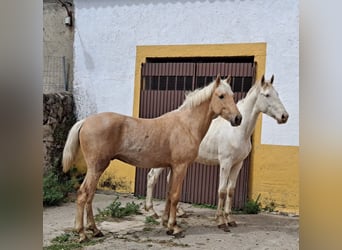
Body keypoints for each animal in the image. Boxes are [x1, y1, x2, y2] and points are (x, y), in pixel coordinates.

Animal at [62, 75, 242, 241]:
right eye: (221, 96)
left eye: (232, 95)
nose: (238, 118)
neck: (186, 125)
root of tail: (85, 121)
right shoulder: (180, 166)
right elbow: (175, 196)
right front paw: (175, 228)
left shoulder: (172, 167)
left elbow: (169, 195)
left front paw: (167, 224)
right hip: (96, 167)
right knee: (83, 194)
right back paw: (82, 233)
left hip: (98, 168)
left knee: (90, 195)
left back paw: (95, 230)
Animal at [144, 75, 288, 231]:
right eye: (267, 95)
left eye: (277, 94)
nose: (284, 116)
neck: (238, 131)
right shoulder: (226, 163)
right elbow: (222, 191)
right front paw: (221, 221)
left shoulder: (238, 164)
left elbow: (230, 191)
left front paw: (230, 219)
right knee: (152, 177)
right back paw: (152, 211)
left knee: (169, 181)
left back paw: (179, 212)